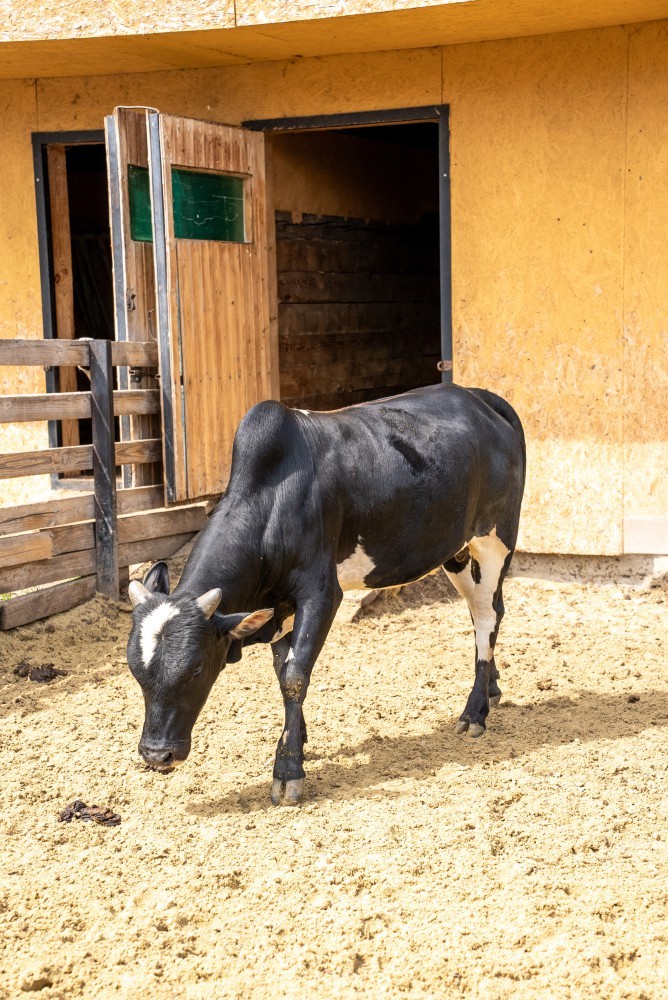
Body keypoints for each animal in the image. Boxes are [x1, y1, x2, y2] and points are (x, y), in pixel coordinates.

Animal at [127, 383, 525, 806]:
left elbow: (295, 676)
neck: (272, 502)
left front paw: (288, 770)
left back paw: (475, 711)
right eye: (135, 671)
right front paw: (297, 741)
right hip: (457, 552)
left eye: (197, 668)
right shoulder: (277, 606)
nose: (156, 754)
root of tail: (477, 395)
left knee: (486, 617)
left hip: (494, 539)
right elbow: (282, 670)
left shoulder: (320, 595)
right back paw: (493, 689)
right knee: (488, 611)